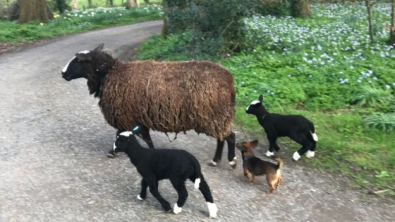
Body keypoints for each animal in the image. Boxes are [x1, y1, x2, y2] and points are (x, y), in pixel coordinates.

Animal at [60, 43, 237, 168]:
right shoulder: (134, 116)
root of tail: (229, 80)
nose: (63, 73)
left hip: (213, 115)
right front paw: (151, 151)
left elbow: (121, 134)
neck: (109, 74)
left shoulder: (125, 115)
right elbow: (145, 137)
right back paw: (216, 160)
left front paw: (112, 152)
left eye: (78, 60)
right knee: (222, 137)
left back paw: (231, 160)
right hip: (216, 116)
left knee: (229, 136)